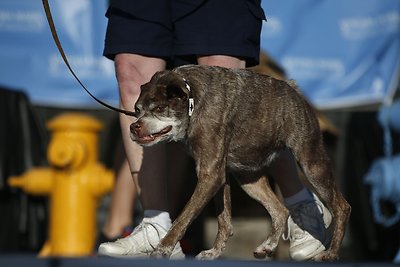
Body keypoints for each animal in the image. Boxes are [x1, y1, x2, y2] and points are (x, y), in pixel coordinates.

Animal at [129, 65, 350, 262]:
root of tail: (293, 89)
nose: (134, 127)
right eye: (137, 110)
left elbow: (183, 218)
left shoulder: (211, 175)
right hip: (248, 178)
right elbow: (224, 220)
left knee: (342, 207)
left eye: (159, 108)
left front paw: (162, 249)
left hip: (311, 163)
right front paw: (214, 252)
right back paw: (267, 246)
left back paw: (331, 253)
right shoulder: (216, 174)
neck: (193, 99)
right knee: (280, 210)